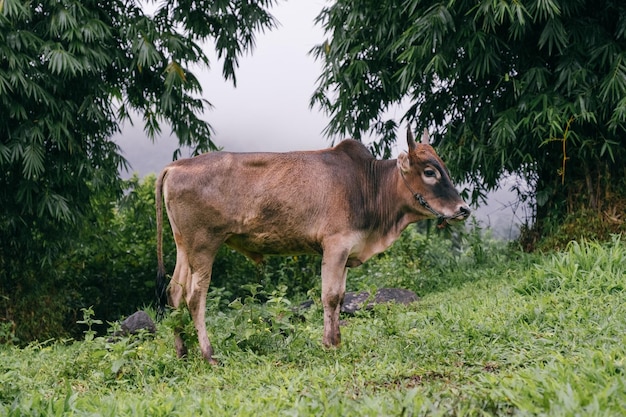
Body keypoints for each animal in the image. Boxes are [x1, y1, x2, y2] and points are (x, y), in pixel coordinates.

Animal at [155, 128, 468, 362]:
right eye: (429, 172)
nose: (463, 209)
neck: (368, 185)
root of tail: (176, 166)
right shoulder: (335, 245)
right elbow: (329, 296)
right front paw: (328, 344)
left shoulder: (346, 250)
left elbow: (340, 297)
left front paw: (337, 341)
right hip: (203, 245)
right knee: (195, 297)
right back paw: (209, 355)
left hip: (184, 248)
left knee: (174, 293)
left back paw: (183, 352)